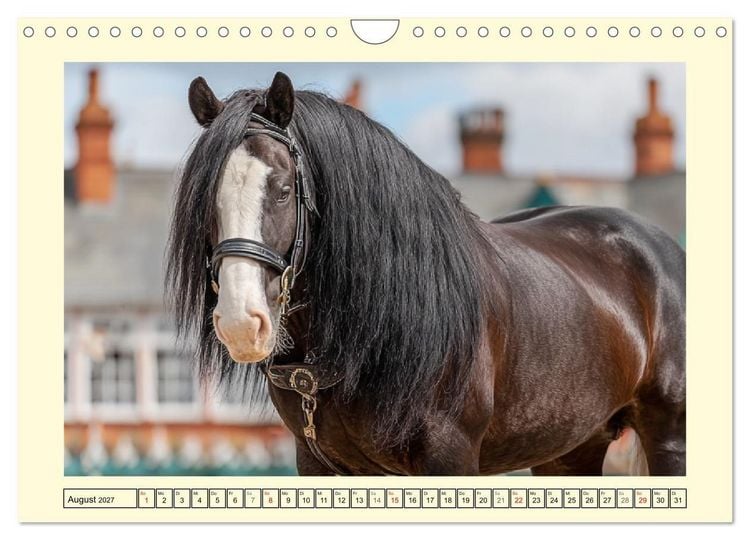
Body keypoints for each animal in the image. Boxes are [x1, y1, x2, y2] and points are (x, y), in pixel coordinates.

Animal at [166, 71, 686, 476]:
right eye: (203, 198)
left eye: (283, 188)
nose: (240, 322)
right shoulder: (320, 464)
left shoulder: (448, 456)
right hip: (570, 449)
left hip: (669, 437)